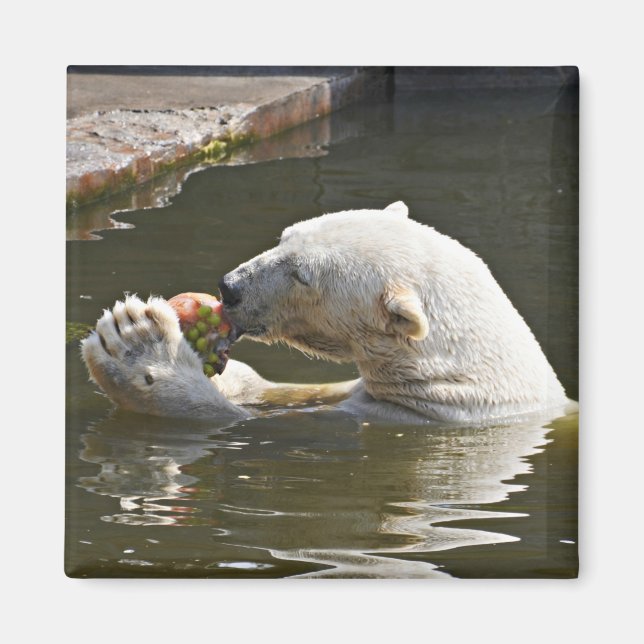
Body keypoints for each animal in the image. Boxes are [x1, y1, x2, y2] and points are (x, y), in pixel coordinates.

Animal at [81, 201, 573, 425]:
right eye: (284, 236)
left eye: (302, 275)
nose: (230, 287)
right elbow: (282, 391)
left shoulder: (399, 417)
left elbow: (235, 420)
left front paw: (135, 344)